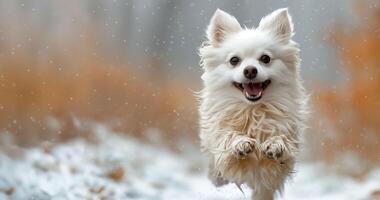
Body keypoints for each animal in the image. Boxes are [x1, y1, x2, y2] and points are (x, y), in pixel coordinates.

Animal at [199, 8, 308, 200]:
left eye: (265, 58)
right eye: (234, 60)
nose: (250, 70)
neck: (253, 110)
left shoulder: (276, 168)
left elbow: (280, 142)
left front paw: (275, 144)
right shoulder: (219, 138)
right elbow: (228, 138)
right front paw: (240, 143)